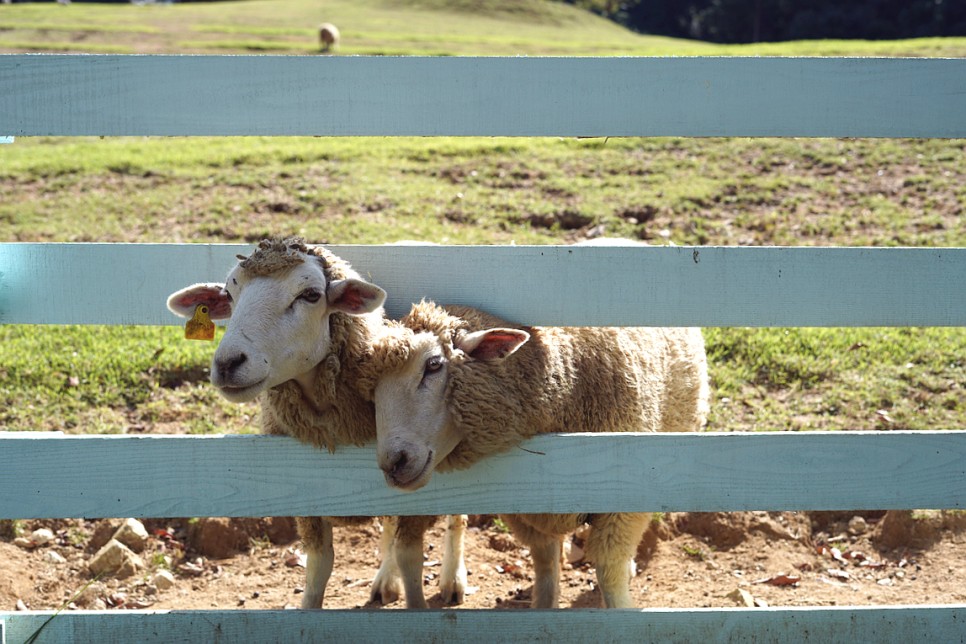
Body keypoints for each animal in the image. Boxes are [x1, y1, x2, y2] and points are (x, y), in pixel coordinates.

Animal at [167, 239, 468, 612]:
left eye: (310, 295)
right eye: (229, 294)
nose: (227, 363)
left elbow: (410, 554)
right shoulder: (309, 497)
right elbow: (319, 565)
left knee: (455, 519)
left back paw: (452, 579)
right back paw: (386, 580)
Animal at [364, 302, 712, 608]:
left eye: (434, 365)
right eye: (371, 393)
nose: (393, 462)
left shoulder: (622, 505)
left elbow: (609, 576)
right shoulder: (531, 514)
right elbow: (545, 571)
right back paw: (393, 578)